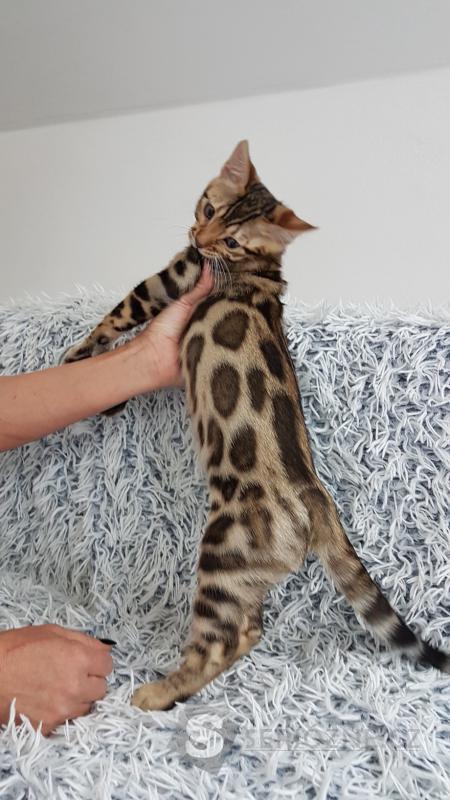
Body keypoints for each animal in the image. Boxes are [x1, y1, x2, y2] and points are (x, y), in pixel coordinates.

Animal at [63, 140, 449, 711]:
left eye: (230, 239)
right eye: (207, 208)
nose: (198, 237)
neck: (257, 264)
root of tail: (315, 494)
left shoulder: (172, 278)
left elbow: (115, 315)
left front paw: (74, 357)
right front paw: (105, 397)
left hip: (223, 555)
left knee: (223, 639)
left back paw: (156, 695)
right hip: (242, 573)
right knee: (249, 629)